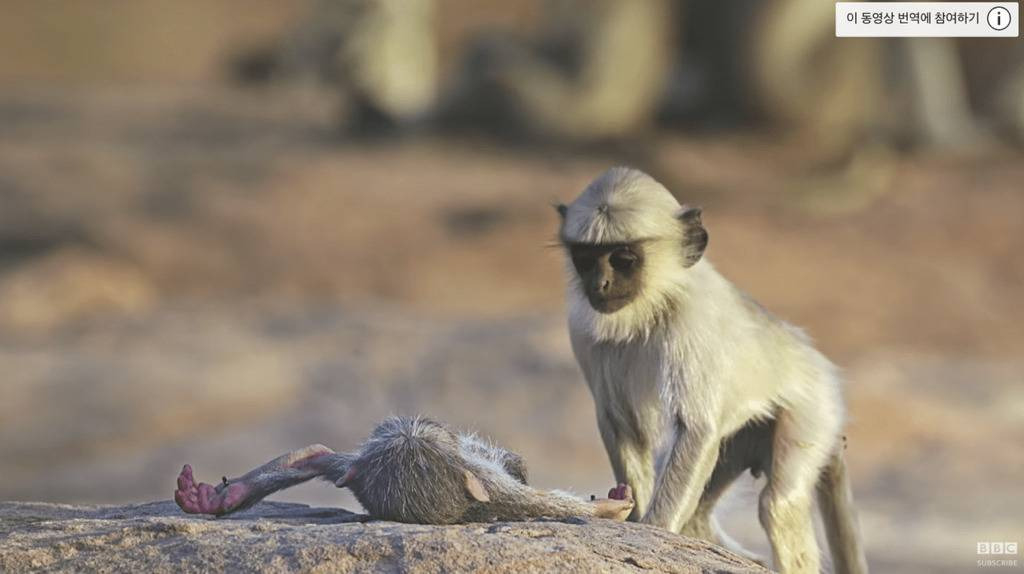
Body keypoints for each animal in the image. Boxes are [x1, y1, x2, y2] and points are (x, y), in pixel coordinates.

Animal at [561, 166, 864, 572]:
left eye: (623, 259)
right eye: (585, 258)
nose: (600, 283)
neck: (655, 305)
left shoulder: (692, 322)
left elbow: (697, 427)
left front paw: (655, 529)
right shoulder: (583, 329)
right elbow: (624, 425)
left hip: (817, 406)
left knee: (778, 504)